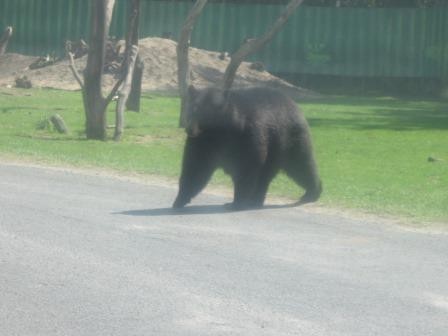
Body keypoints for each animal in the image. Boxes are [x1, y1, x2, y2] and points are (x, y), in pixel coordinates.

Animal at [172, 84, 322, 210]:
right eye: (191, 110)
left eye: (203, 113)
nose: (189, 130)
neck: (220, 131)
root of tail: (294, 104)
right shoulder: (202, 142)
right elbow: (196, 166)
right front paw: (179, 200)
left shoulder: (247, 136)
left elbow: (247, 166)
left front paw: (237, 202)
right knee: (268, 175)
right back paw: (256, 200)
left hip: (288, 139)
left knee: (300, 165)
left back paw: (312, 192)